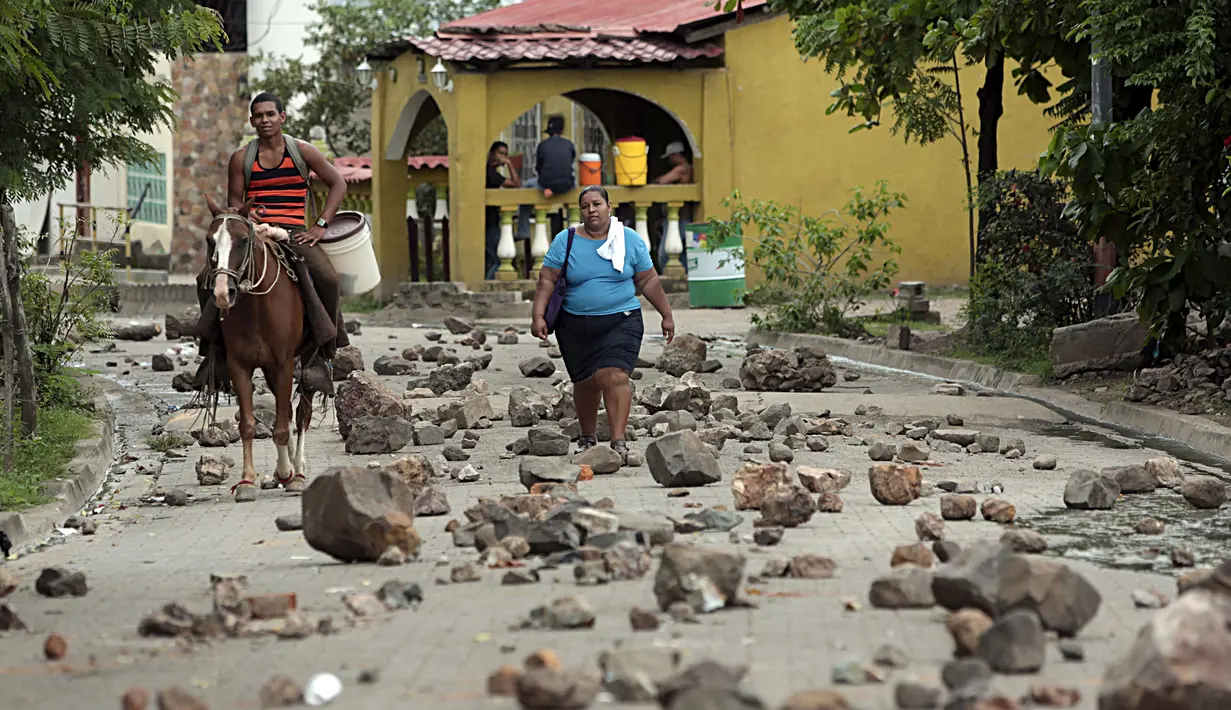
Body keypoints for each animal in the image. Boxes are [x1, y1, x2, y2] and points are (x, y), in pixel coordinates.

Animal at [204, 196, 315, 502]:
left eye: (243, 240)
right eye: (209, 240)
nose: (222, 293)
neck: (256, 307)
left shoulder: (284, 364)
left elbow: (282, 426)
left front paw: (289, 474)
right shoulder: (239, 365)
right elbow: (248, 425)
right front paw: (246, 482)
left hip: (307, 360)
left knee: (302, 412)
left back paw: (297, 471)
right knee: (286, 411)